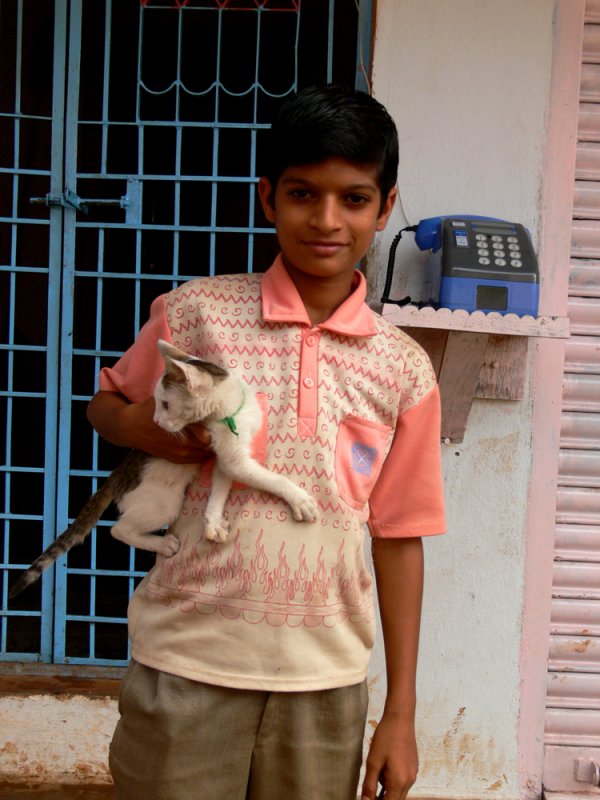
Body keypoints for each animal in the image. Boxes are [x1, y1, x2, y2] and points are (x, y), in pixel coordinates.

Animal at [9, 336, 318, 592]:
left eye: (166, 404)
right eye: (158, 404)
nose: (156, 421)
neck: (230, 407)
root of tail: (118, 475)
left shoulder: (224, 458)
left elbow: (219, 489)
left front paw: (212, 521)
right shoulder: (234, 459)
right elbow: (273, 479)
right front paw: (299, 499)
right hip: (162, 502)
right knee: (118, 530)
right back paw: (161, 542)